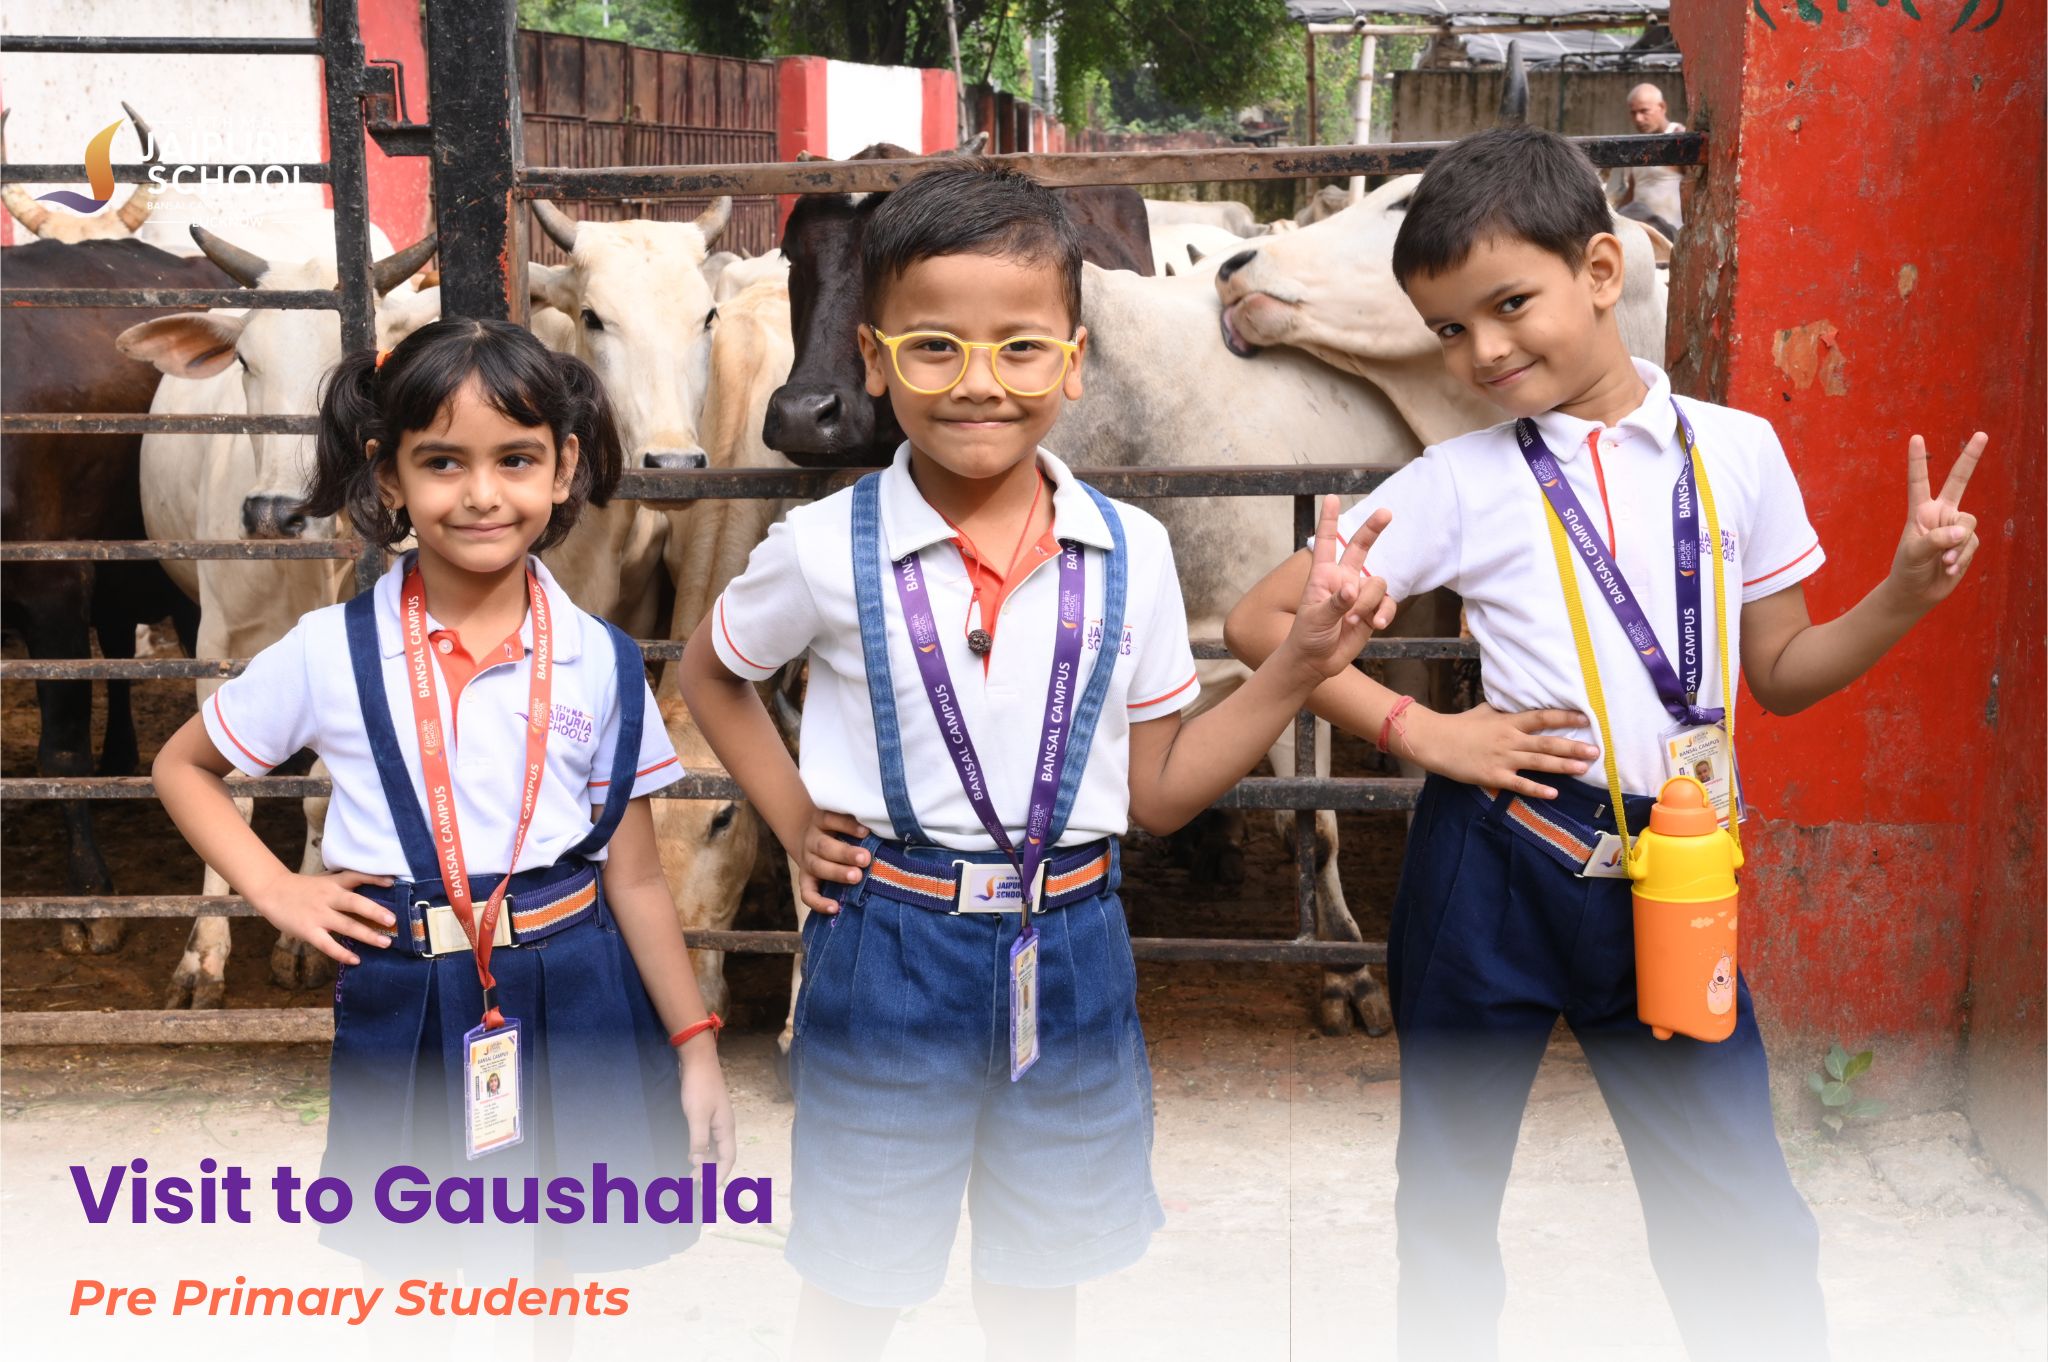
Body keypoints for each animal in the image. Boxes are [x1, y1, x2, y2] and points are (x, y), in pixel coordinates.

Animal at [116, 225, 439, 1007]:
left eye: (367, 371)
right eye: (244, 361)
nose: (272, 513)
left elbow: (327, 795)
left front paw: (304, 939)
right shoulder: (221, 647)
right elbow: (228, 794)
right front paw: (203, 957)